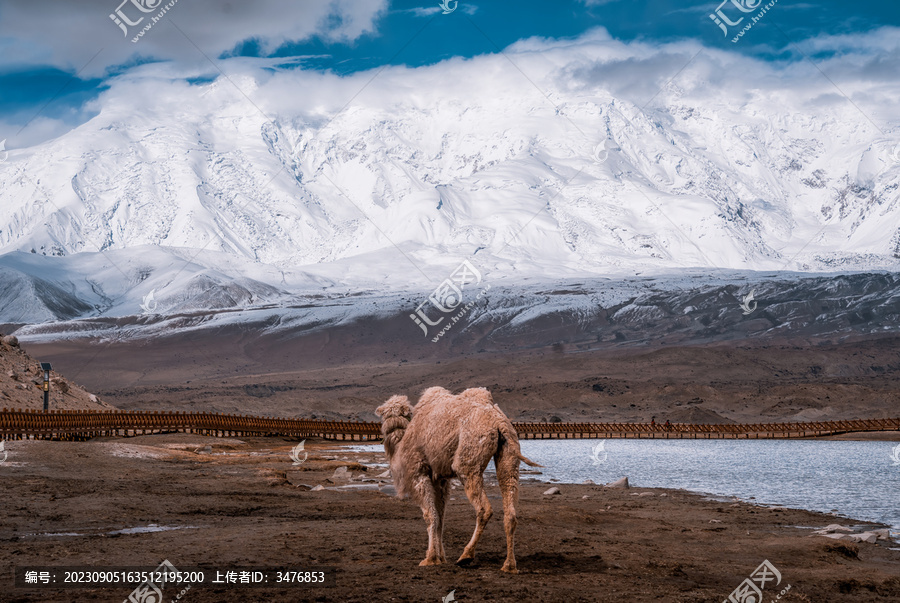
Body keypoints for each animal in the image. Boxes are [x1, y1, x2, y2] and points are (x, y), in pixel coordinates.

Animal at [374, 390, 540, 572]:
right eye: (386, 413)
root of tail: (499, 422)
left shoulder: (419, 472)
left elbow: (430, 515)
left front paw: (430, 558)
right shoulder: (440, 480)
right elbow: (440, 516)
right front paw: (441, 557)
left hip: (468, 459)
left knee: (484, 508)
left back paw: (466, 556)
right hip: (509, 452)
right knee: (510, 511)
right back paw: (509, 565)